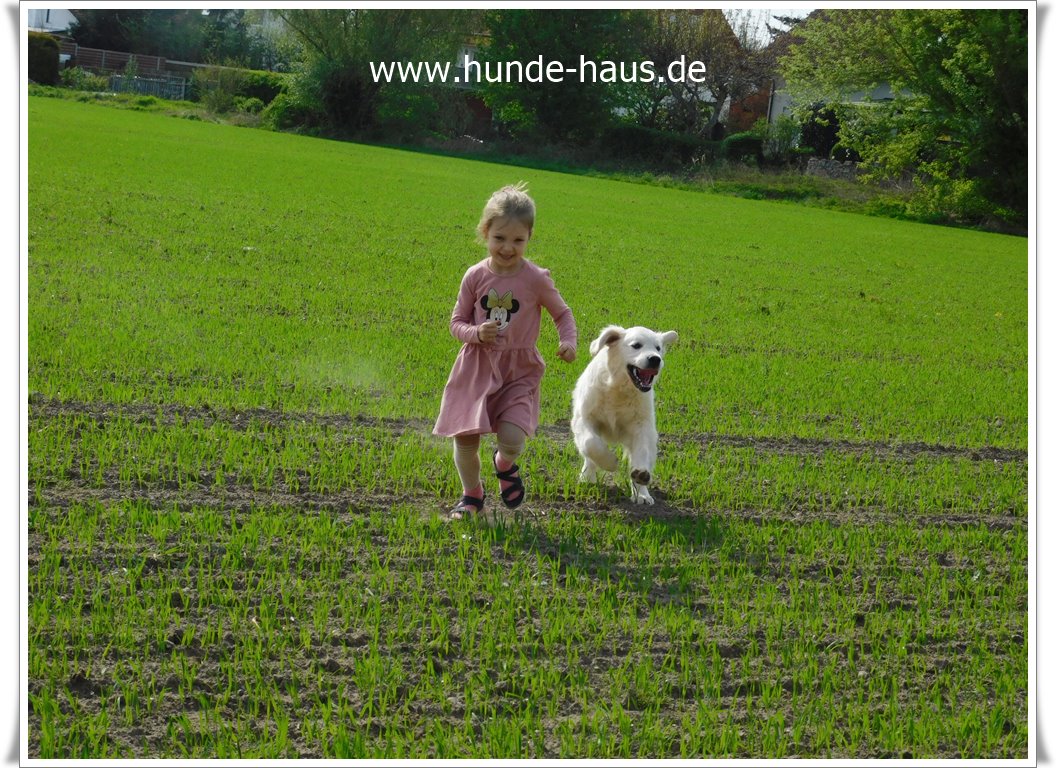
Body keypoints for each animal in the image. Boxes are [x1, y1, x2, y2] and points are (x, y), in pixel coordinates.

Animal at [571, 325, 678, 505]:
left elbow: (642, 451)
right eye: (636, 345)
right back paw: (587, 479)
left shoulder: (642, 425)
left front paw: (641, 483)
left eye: (658, 348)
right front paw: (610, 463)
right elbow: (591, 443)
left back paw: (642, 493)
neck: (619, 389)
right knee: (589, 457)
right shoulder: (584, 418)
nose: (655, 359)